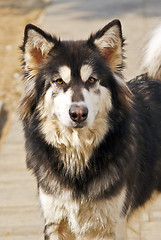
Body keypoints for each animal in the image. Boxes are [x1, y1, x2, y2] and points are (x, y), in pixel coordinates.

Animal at [20, 19, 161, 239]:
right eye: (59, 81)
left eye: (92, 80)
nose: (78, 113)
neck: (78, 156)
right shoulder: (55, 222)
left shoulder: (113, 224)